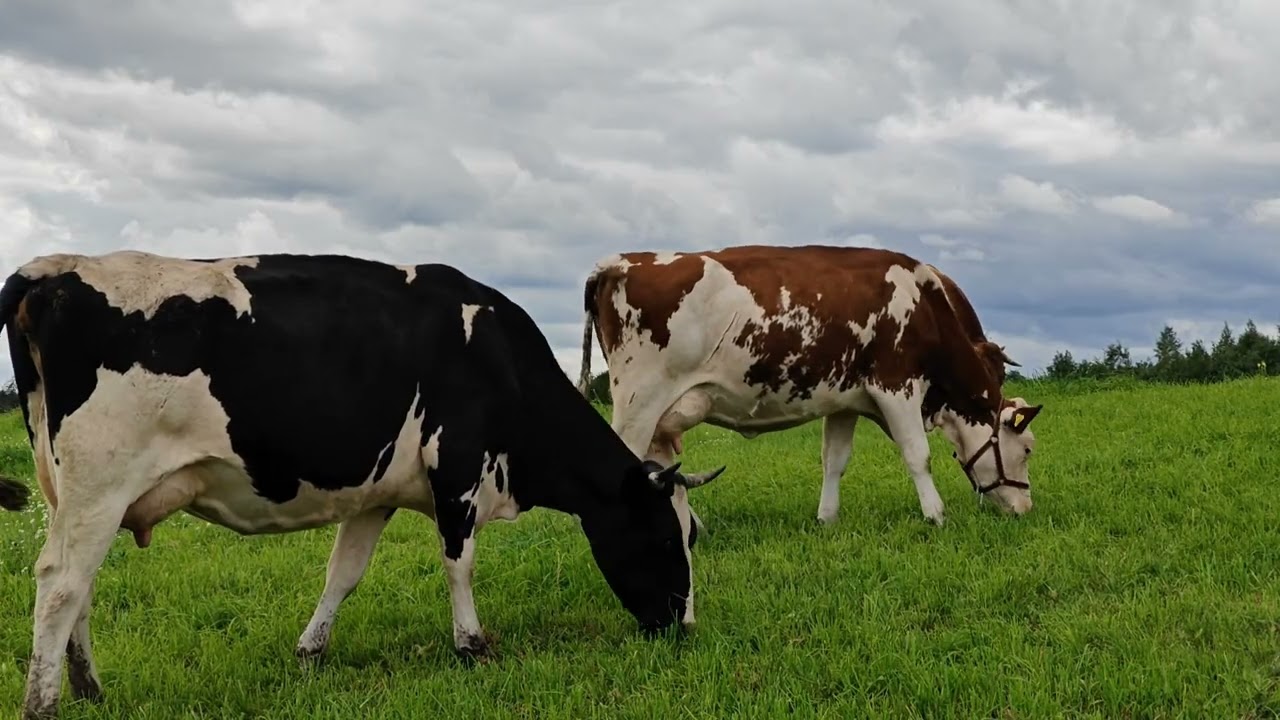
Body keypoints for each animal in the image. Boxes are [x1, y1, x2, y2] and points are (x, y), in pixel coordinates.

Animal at [0, 250, 725, 719]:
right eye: (669, 539)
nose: (685, 627)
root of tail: (48, 272)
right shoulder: (457, 471)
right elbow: (459, 565)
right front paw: (472, 646)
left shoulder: (377, 494)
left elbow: (343, 573)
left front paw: (310, 652)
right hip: (100, 481)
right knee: (60, 583)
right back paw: (44, 703)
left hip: (77, 491)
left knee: (80, 584)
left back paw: (89, 689)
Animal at [576, 244, 1043, 530]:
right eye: (1026, 449)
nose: (1025, 508)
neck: (925, 303)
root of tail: (617, 262)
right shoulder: (896, 385)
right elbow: (918, 455)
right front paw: (936, 516)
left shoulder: (845, 400)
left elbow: (834, 460)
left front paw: (827, 518)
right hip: (638, 401)